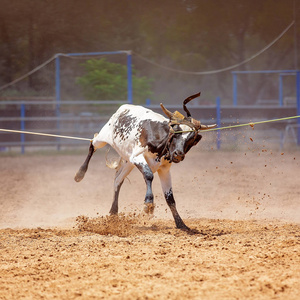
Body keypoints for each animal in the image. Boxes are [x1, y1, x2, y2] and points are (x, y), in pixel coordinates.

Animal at [74, 92, 216, 231]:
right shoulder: (138, 156)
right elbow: (148, 175)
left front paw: (181, 224)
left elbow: (169, 198)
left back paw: (113, 213)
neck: (160, 140)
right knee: (92, 144)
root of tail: (123, 108)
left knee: (118, 180)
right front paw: (148, 204)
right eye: (176, 132)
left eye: (192, 139)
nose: (178, 154)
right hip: (104, 138)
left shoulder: (164, 169)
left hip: (128, 162)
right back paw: (80, 174)